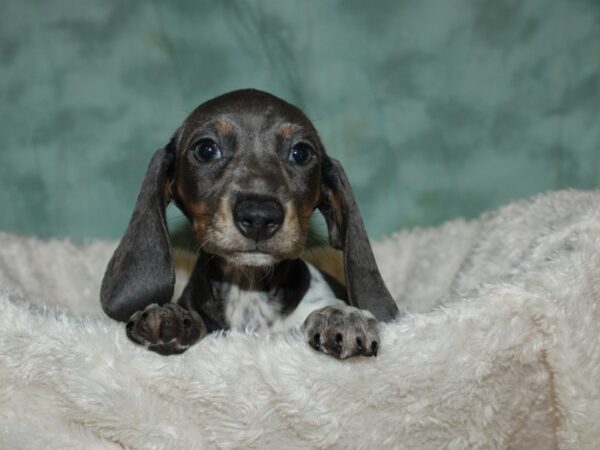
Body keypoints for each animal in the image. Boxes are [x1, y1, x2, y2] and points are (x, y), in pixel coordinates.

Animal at [99, 89, 398, 360]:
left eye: (301, 152)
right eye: (206, 149)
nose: (259, 216)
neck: (249, 289)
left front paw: (343, 315)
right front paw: (172, 316)